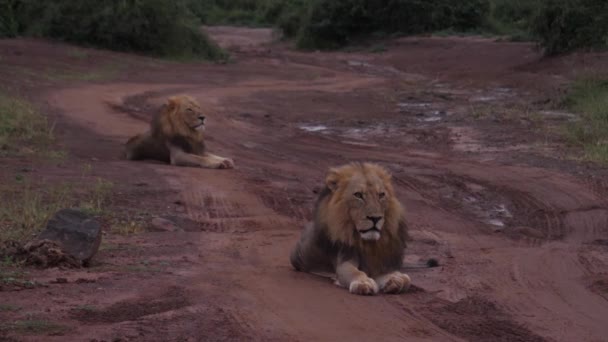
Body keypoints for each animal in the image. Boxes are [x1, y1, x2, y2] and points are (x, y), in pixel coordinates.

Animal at [290, 162, 414, 294]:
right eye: (358, 195)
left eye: (381, 195)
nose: (375, 218)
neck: (369, 244)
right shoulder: (344, 259)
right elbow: (354, 272)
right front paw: (363, 283)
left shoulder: (378, 263)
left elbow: (404, 278)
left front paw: (395, 280)